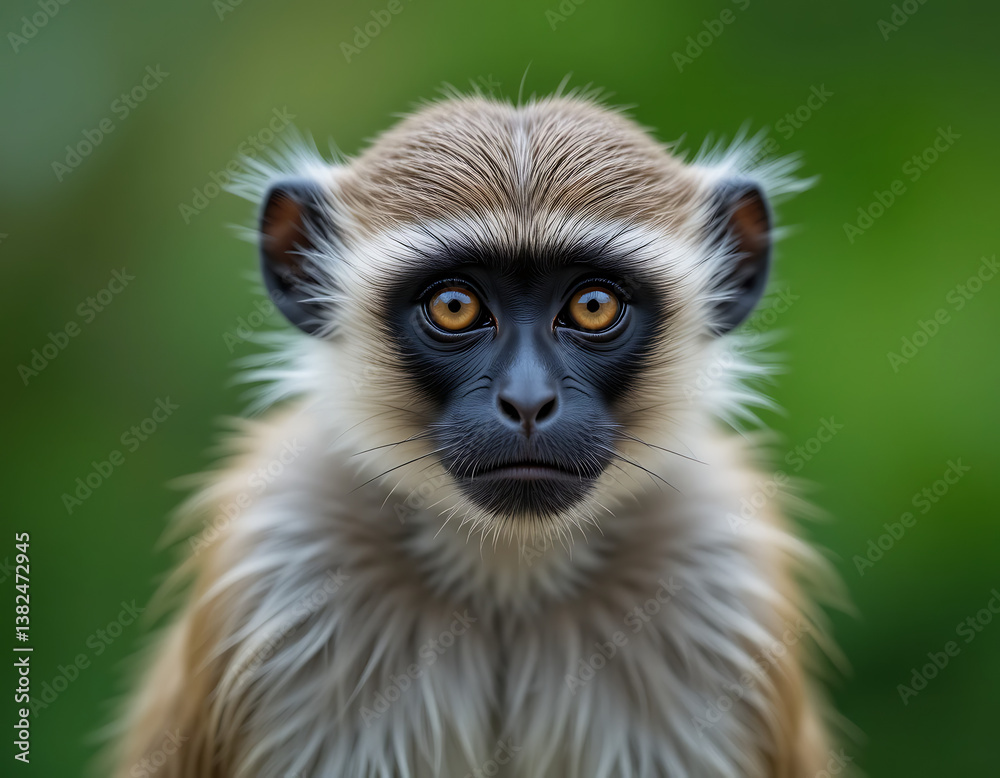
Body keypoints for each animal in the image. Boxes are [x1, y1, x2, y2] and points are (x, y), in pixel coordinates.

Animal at [110, 93, 843, 778]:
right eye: (455, 306)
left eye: (593, 305)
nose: (528, 401)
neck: (508, 577)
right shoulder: (285, 552)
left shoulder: (717, 569)